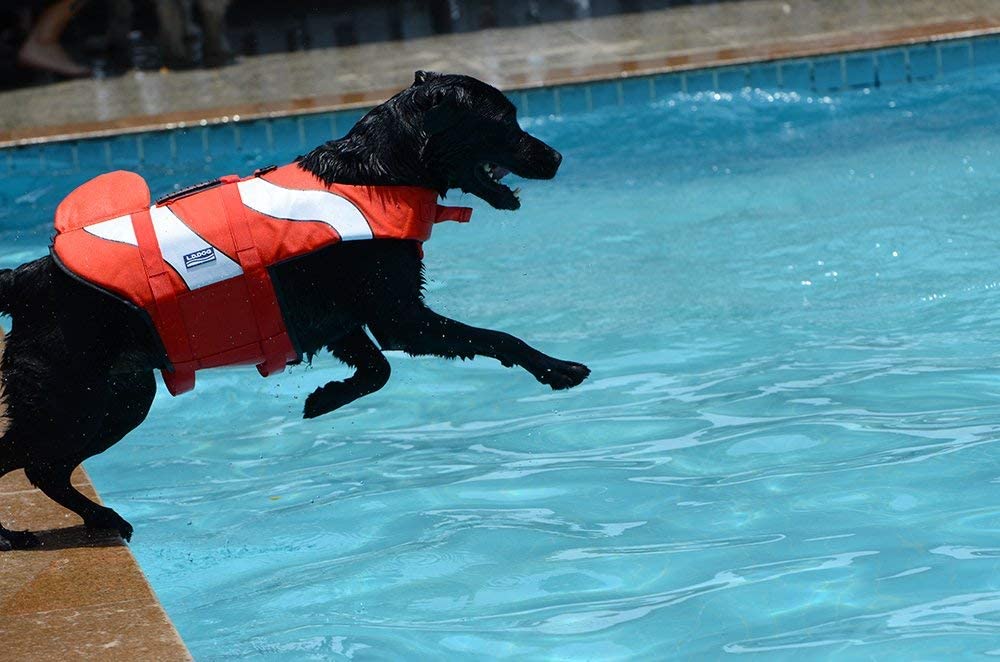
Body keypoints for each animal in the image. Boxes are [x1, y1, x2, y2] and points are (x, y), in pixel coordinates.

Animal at [0, 71, 588, 556]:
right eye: (504, 120)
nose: (558, 158)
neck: (379, 173)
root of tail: (25, 276)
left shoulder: (341, 324)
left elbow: (378, 370)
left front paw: (323, 398)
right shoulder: (401, 319)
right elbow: (498, 338)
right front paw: (558, 368)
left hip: (107, 400)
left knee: (34, 462)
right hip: (83, 401)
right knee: (36, 463)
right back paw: (59, 526)